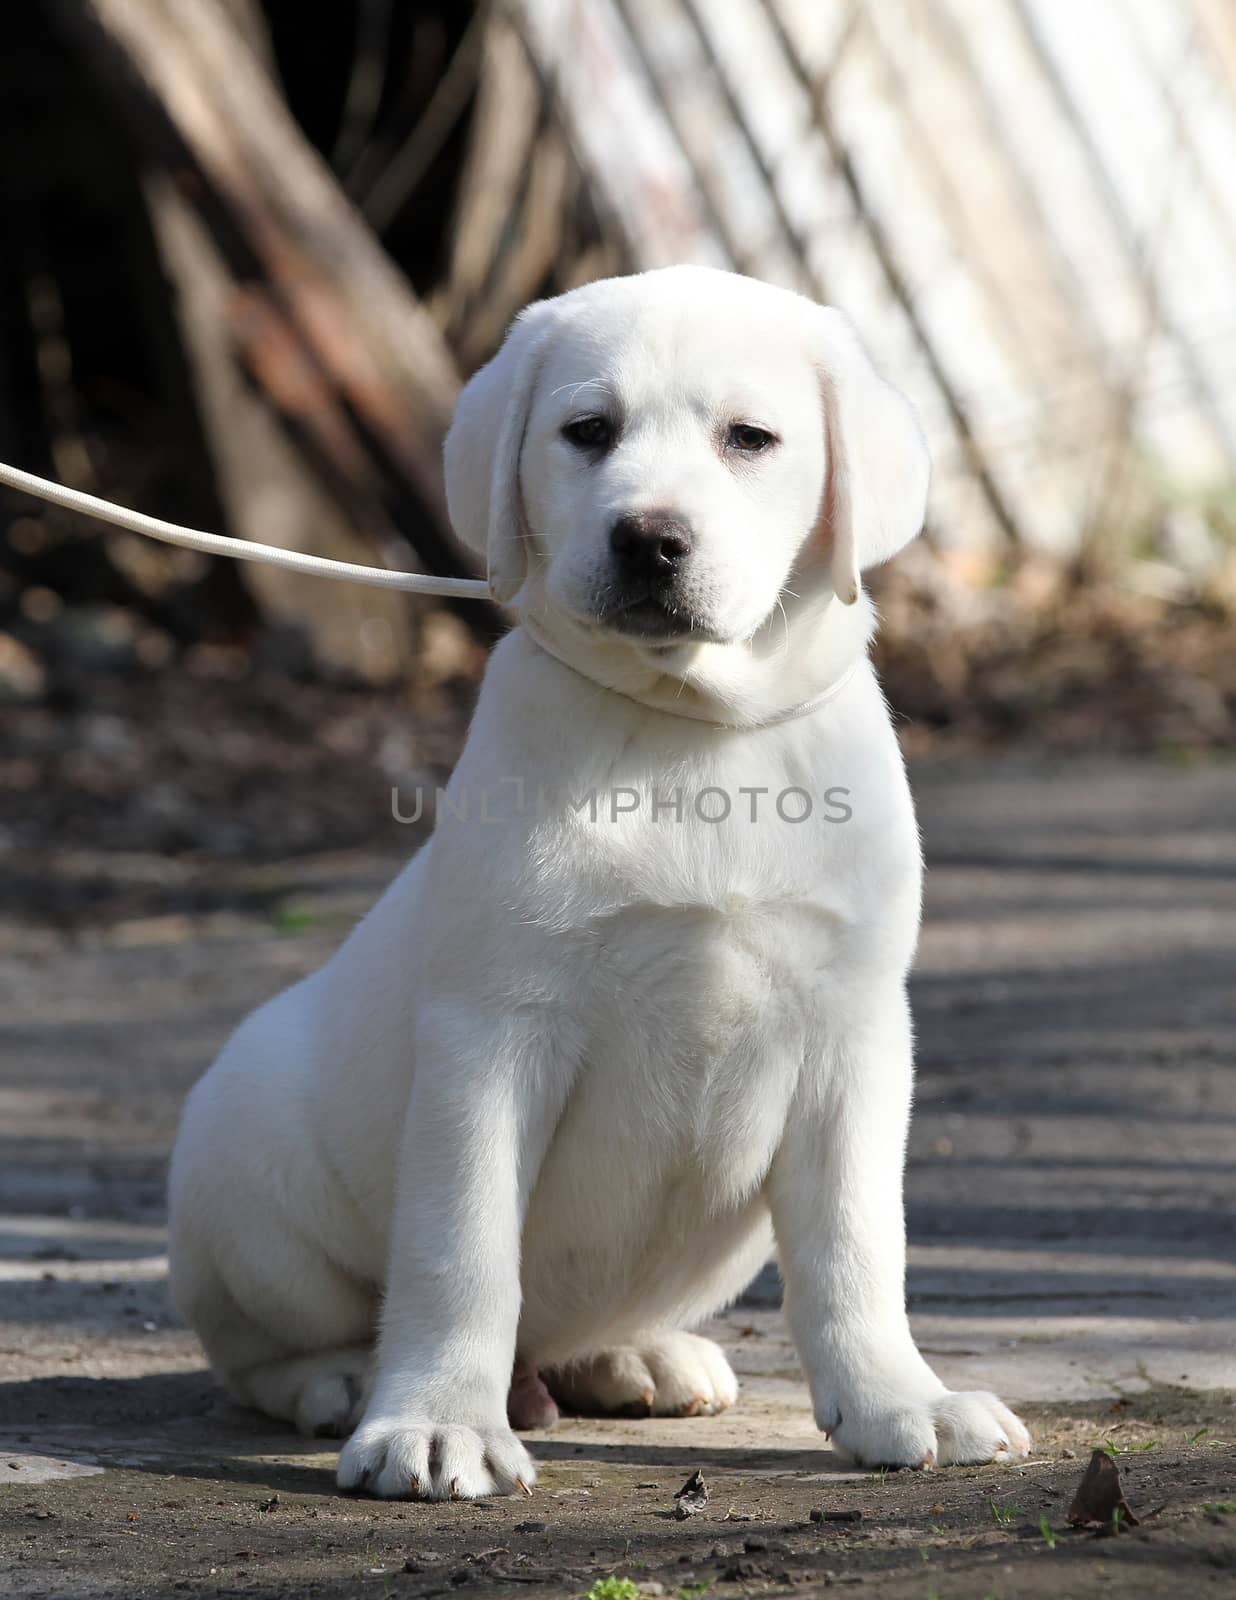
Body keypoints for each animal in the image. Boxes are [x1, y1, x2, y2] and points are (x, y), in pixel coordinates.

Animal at [168, 262, 1031, 1497]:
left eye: (749, 438)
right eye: (588, 432)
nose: (649, 540)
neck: (688, 735)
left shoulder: (853, 1029)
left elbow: (859, 1241)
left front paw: (898, 1400)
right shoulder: (492, 1030)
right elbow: (462, 1250)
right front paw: (436, 1422)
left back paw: (639, 1356)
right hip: (246, 1170)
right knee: (258, 1344)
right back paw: (341, 1381)